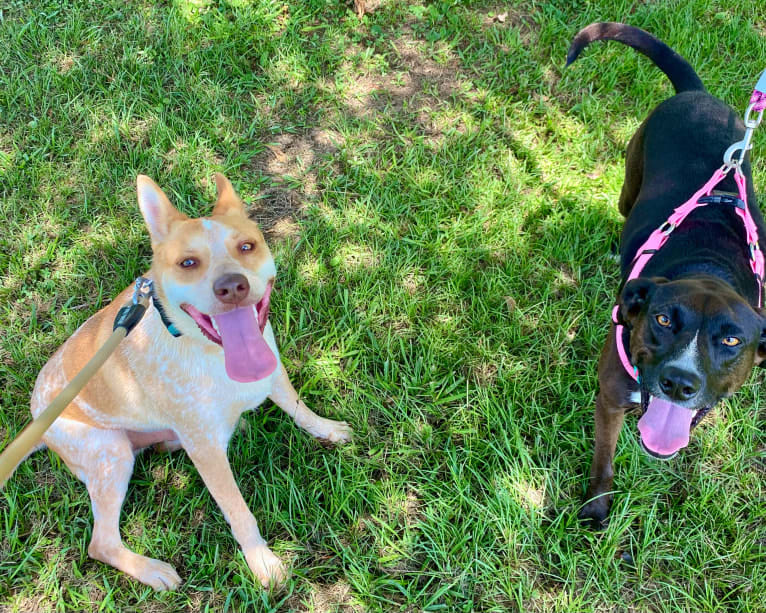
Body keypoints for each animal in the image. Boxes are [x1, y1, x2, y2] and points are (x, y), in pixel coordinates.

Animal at [24, 172, 352, 588]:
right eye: (188, 263)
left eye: (247, 246)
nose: (231, 286)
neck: (210, 353)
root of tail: (36, 417)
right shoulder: (206, 451)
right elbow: (238, 511)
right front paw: (261, 562)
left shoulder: (273, 368)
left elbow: (299, 408)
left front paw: (327, 429)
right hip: (110, 455)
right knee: (101, 543)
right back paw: (153, 571)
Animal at [568, 22, 766, 520]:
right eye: (662, 319)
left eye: (732, 340)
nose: (680, 382)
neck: (708, 267)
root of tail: (697, 93)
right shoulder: (610, 399)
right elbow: (603, 461)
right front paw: (596, 509)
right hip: (630, 180)